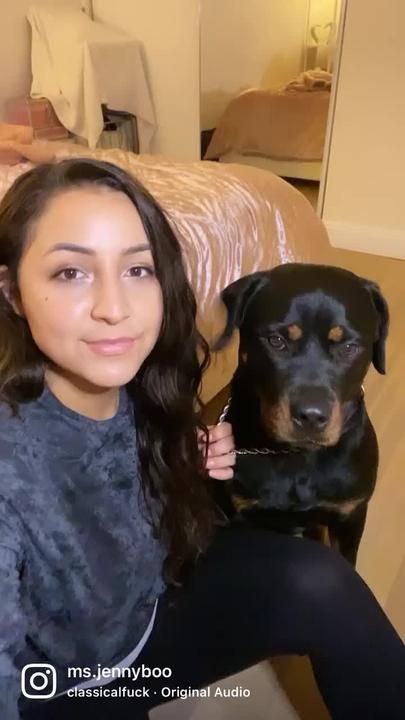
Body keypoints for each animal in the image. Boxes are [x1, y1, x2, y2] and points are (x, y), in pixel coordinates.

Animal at [215, 264, 388, 568]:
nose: (311, 416)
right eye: (276, 341)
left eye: (349, 347)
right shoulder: (241, 514)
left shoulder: (351, 514)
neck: (297, 459)